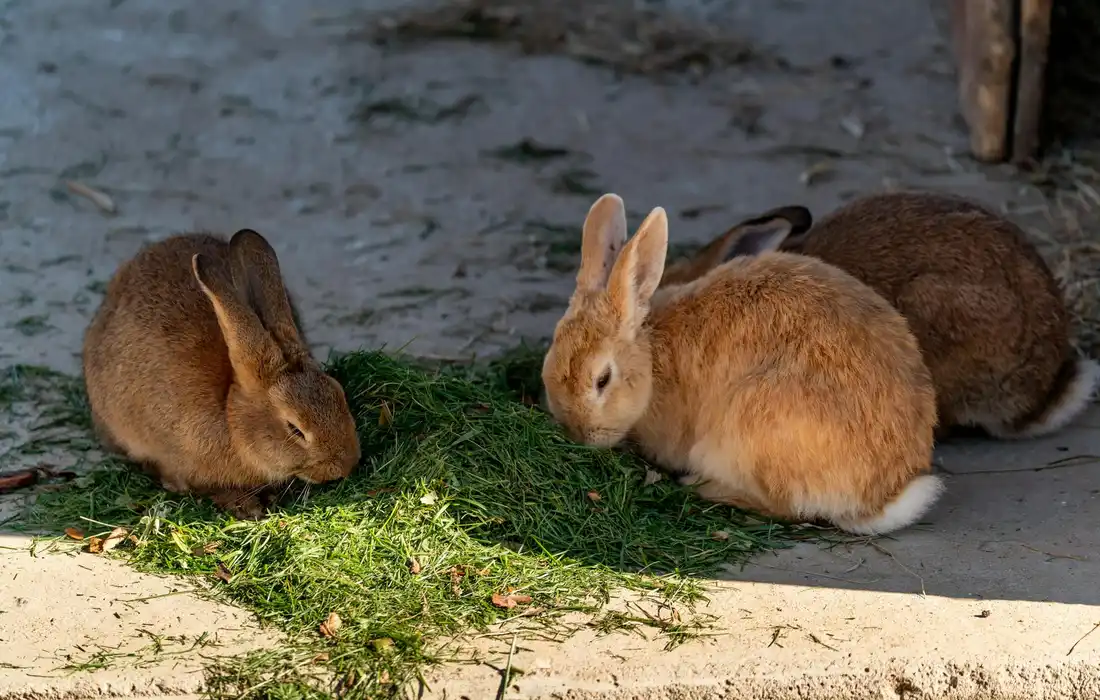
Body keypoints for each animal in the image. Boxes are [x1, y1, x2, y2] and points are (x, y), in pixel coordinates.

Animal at [541, 193, 942, 535]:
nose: (579, 434)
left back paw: (701, 486)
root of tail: (877, 499)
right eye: (548, 366)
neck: (652, 358)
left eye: (603, 380)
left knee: (785, 508)